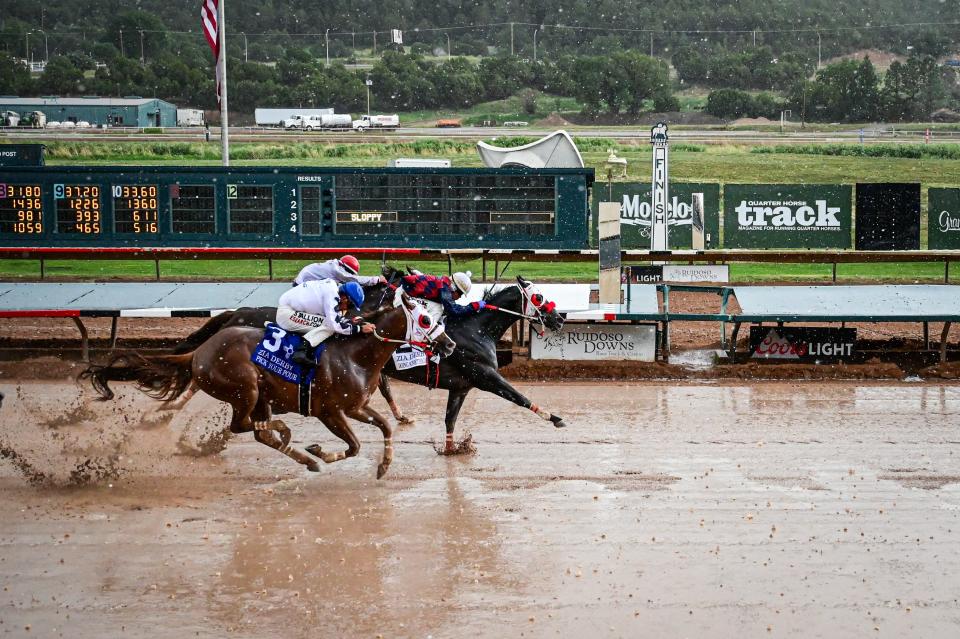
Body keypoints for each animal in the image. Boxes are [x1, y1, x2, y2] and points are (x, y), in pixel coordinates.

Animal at [82, 288, 454, 478]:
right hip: (245, 388)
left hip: (253, 393)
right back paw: (289, 438)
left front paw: (384, 464)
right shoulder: (330, 411)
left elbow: (384, 428)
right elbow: (355, 445)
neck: (356, 353)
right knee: (244, 425)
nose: (449, 344)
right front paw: (320, 450)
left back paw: (297, 451)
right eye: (425, 319)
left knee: (256, 431)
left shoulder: (356, 406)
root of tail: (200, 352)